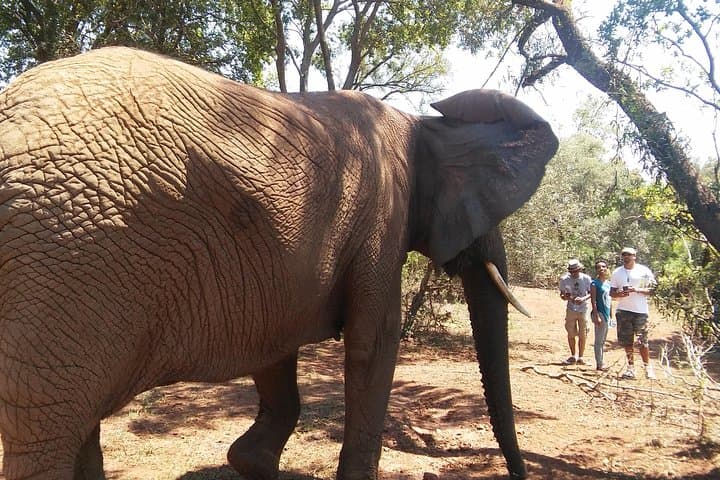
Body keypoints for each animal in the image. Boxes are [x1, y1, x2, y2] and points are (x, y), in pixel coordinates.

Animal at [0, 47, 558, 480]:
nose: (516, 472)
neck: (423, 123)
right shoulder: (382, 215)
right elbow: (373, 342)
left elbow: (274, 347)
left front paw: (253, 464)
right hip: (65, 251)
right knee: (49, 433)